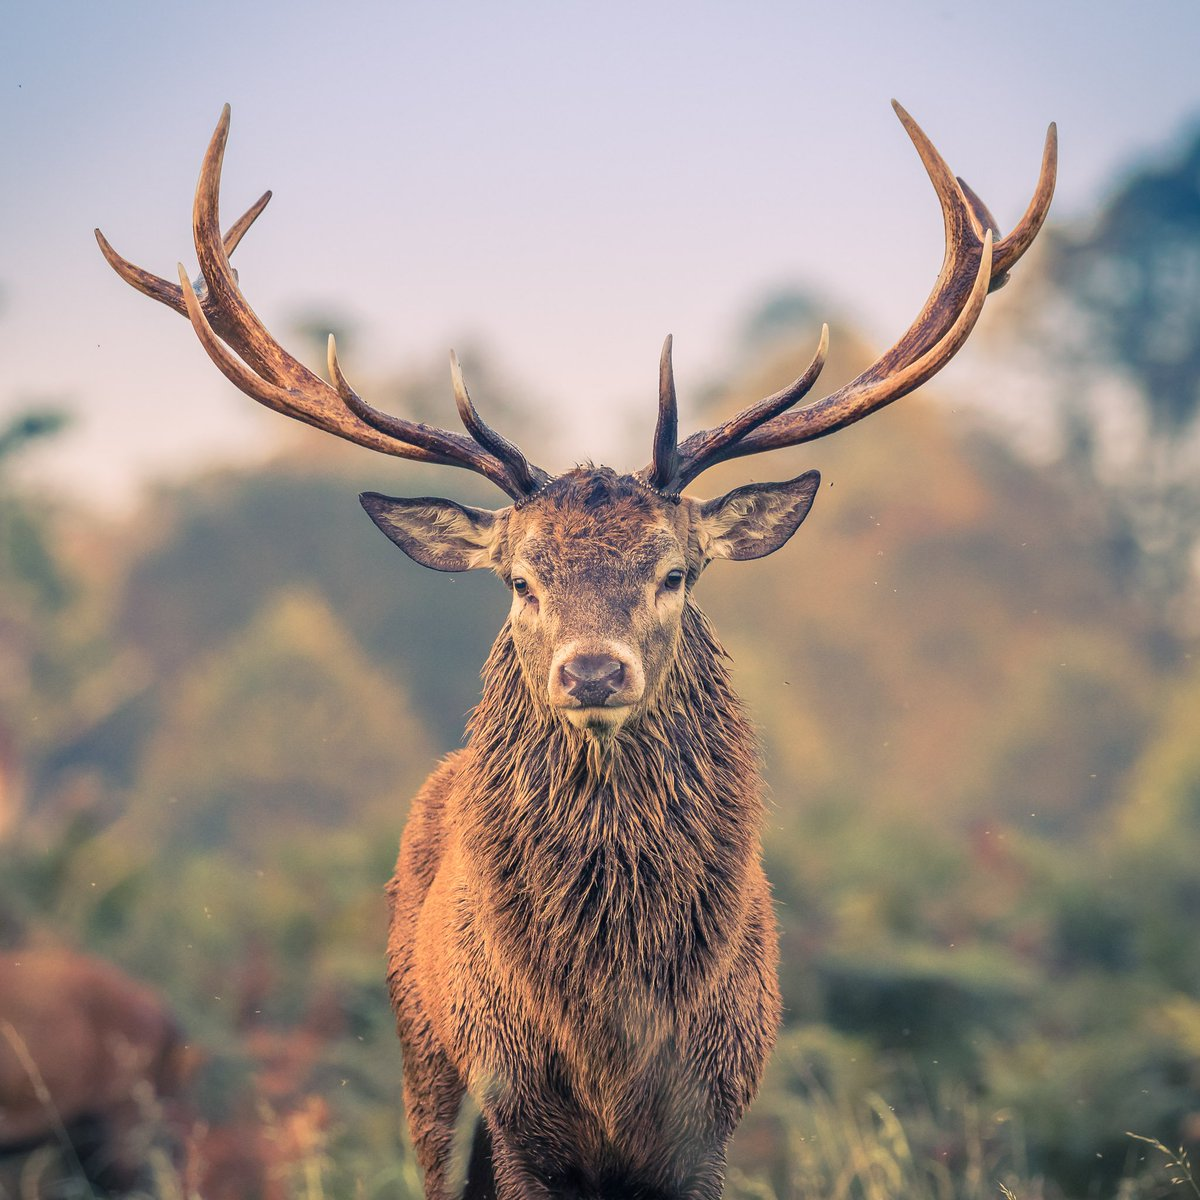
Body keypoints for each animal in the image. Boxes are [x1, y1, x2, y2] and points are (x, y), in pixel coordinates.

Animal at [98, 105, 1056, 1200]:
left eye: (676, 572)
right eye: (521, 580)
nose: (593, 671)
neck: (609, 1028)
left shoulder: (711, 1111)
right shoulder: (510, 1103)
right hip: (425, 1078)